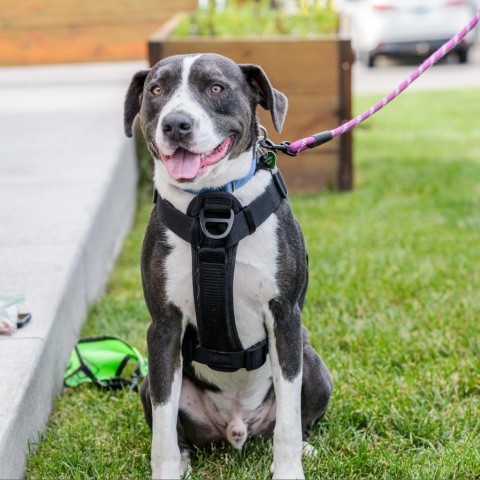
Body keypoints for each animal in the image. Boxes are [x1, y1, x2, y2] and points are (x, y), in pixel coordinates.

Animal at [124, 53, 334, 480]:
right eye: (156, 90)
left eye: (216, 87)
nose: (176, 124)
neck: (214, 204)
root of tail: (237, 428)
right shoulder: (164, 328)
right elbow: (163, 429)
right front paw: (166, 469)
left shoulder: (285, 317)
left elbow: (289, 419)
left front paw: (288, 469)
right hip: (148, 383)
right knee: (175, 426)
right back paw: (185, 457)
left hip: (313, 363)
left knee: (298, 417)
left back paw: (305, 448)